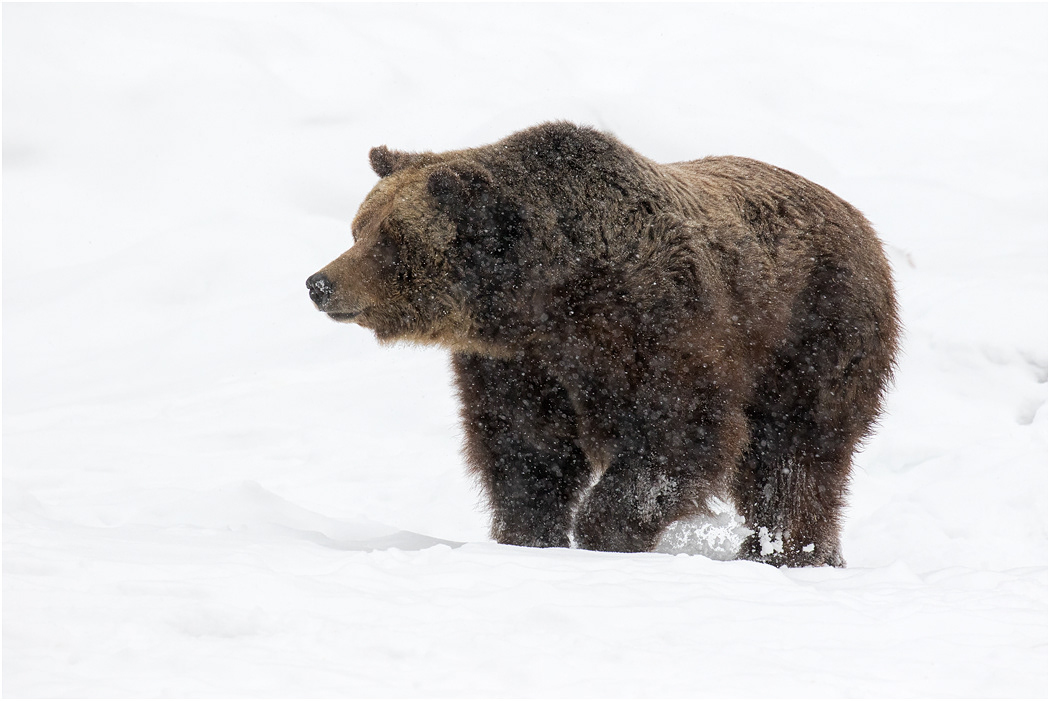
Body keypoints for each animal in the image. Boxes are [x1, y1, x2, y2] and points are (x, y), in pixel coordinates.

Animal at [307, 122, 899, 567]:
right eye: (358, 227)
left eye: (390, 239)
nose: (320, 283)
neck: (545, 300)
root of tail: (860, 220)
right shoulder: (517, 365)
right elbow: (523, 447)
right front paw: (529, 534)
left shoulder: (656, 327)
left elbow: (677, 434)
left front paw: (606, 533)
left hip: (813, 336)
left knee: (795, 455)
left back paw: (786, 552)